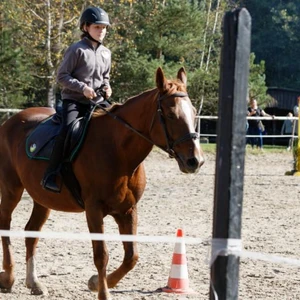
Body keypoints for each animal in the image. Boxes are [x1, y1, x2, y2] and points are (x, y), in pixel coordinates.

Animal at [0, 67, 204, 298]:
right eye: (170, 114)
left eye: (193, 112)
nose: (195, 161)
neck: (118, 151)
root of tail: (11, 122)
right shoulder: (94, 209)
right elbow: (101, 255)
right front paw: (102, 291)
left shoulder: (128, 210)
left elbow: (132, 256)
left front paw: (96, 282)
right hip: (11, 189)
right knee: (5, 225)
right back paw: (8, 277)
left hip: (42, 199)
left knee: (31, 233)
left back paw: (33, 282)